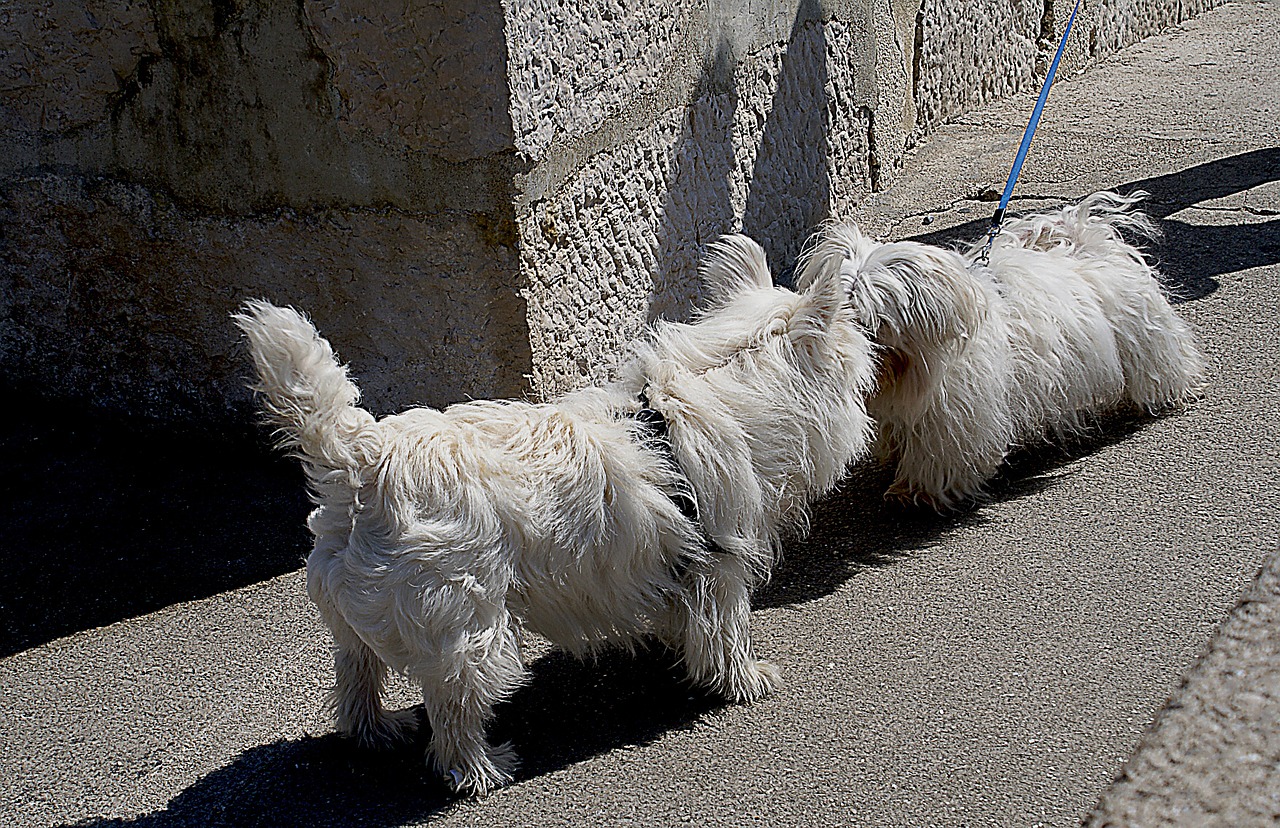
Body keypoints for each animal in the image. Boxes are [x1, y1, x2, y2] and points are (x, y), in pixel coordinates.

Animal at [793, 190, 1203, 509]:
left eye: (866, 315)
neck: (910, 364)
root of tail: (1086, 239)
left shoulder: (955, 415)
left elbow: (939, 454)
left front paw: (916, 490)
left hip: (1144, 338)